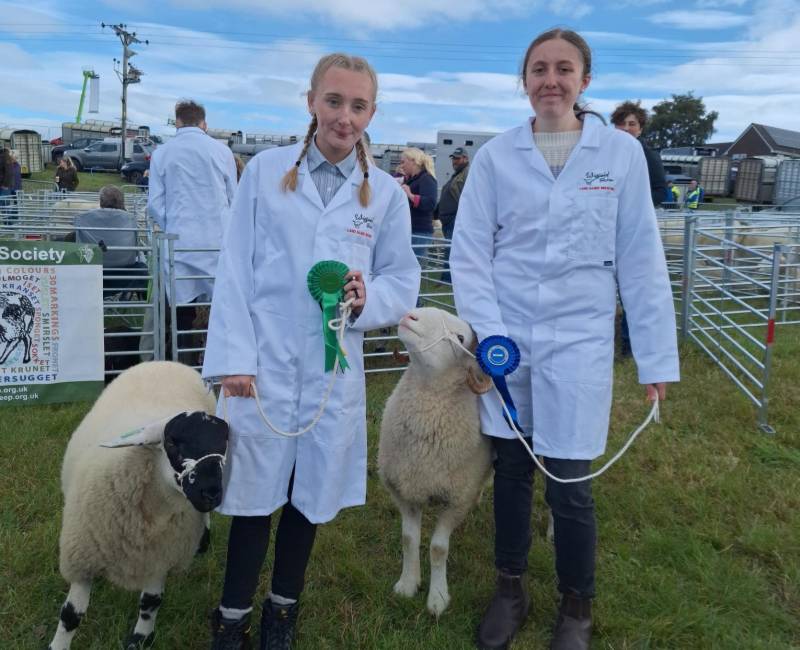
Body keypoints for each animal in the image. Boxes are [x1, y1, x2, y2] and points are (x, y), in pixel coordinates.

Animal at [49, 360, 228, 648]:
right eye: (171, 442)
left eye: (224, 445)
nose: (211, 493)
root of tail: (167, 362)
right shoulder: (82, 558)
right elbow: (71, 615)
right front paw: (58, 644)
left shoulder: (160, 556)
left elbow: (150, 602)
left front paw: (140, 638)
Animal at [376, 306, 494, 616]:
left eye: (460, 337)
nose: (409, 316)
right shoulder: (404, 492)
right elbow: (408, 539)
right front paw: (408, 583)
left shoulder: (455, 501)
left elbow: (439, 548)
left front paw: (438, 598)